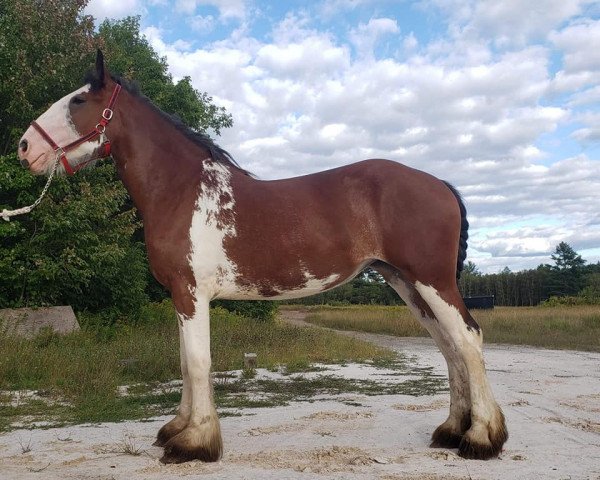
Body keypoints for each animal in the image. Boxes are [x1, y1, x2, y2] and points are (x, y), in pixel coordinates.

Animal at [17, 50, 506, 464]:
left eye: (79, 99)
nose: (24, 147)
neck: (182, 191)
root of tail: (439, 184)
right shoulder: (181, 295)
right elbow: (185, 362)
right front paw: (177, 429)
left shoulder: (191, 293)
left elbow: (198, 362)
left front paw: (194, 443)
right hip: (405, 282)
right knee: (449, 347)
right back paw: (451, 430)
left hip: (430, 280)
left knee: (467, 340)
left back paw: (481, 438)